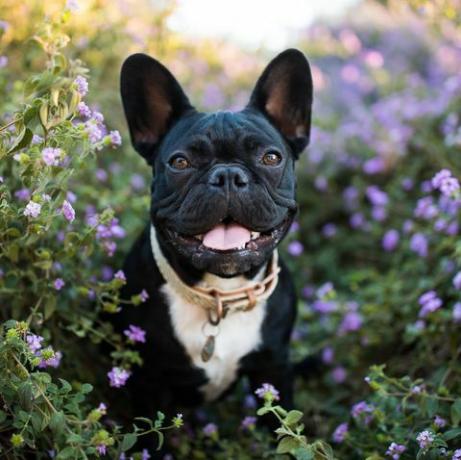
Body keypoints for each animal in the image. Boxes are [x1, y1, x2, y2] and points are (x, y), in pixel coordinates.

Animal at [114, 48, 312, 422]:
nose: (228, 175)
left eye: (271, 157)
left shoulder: (274, 367)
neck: (220, 295)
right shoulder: (150, 383)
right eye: (179, 163)